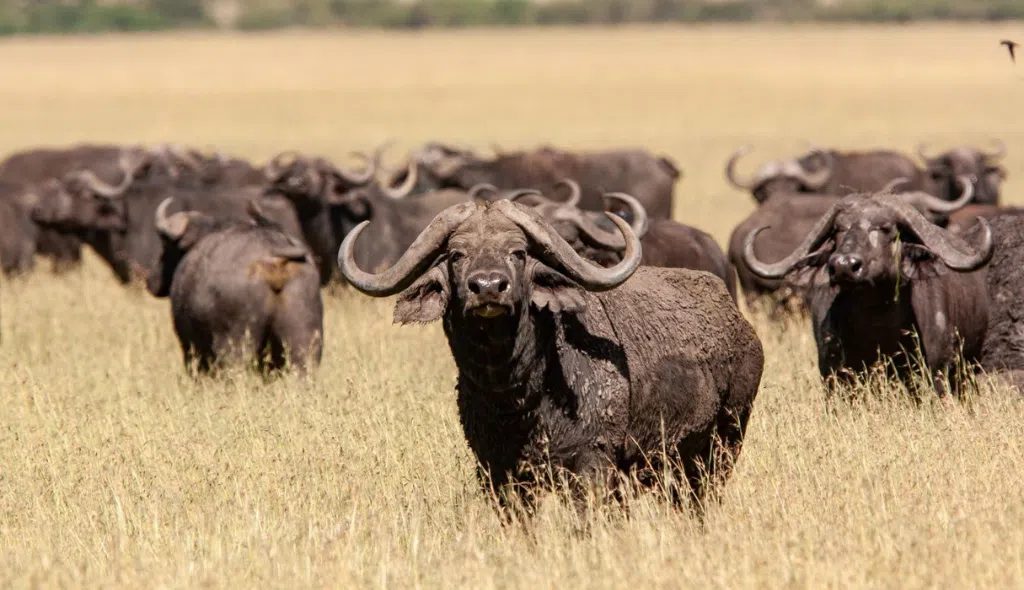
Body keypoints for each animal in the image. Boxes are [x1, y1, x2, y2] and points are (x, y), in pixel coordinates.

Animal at [148, 199, 322, 374]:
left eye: (166, 246)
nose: (151, 280)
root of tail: (273, 257)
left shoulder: (190, 347)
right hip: (304, 340)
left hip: (234, 345)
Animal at [338, 199, 763, 505]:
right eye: (457, 255)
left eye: (518, 252)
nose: (489, 287)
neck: (516, 395)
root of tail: (740, 324)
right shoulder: (497, 473)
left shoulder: (592, 466)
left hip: (723, 445)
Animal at [743, 190, 992, 394]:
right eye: (838, 230)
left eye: (885, 228)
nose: (844, 265)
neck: (876, 325)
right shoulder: (833, 375)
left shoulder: (937, 371)